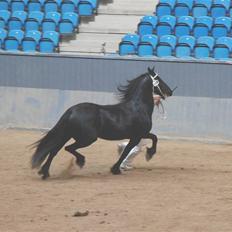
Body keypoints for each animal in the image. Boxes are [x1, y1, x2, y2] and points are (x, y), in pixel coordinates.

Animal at [31, 67, 172, 179]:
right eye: (159, 79)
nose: (170, 91)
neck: (138, 107)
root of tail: (71, 110)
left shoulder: (138, 135)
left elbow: (142, 143)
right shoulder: (138, 135)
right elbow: (132, 148)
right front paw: (118, 168)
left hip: (67, 135)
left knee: (54, 150)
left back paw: (45, 173)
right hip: (87, 139)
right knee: (68, 148)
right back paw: (80, 161)